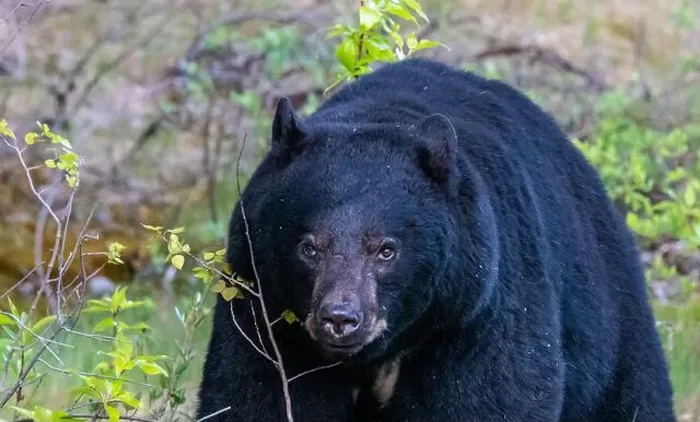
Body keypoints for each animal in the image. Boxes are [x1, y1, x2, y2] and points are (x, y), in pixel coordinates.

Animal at [196, 58, 676, 422]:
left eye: (386, 249)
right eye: (309, 247)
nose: (340, 318)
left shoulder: (478, 310)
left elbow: (491, 397)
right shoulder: (263, 312)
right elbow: (252, 396)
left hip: (611, 328)